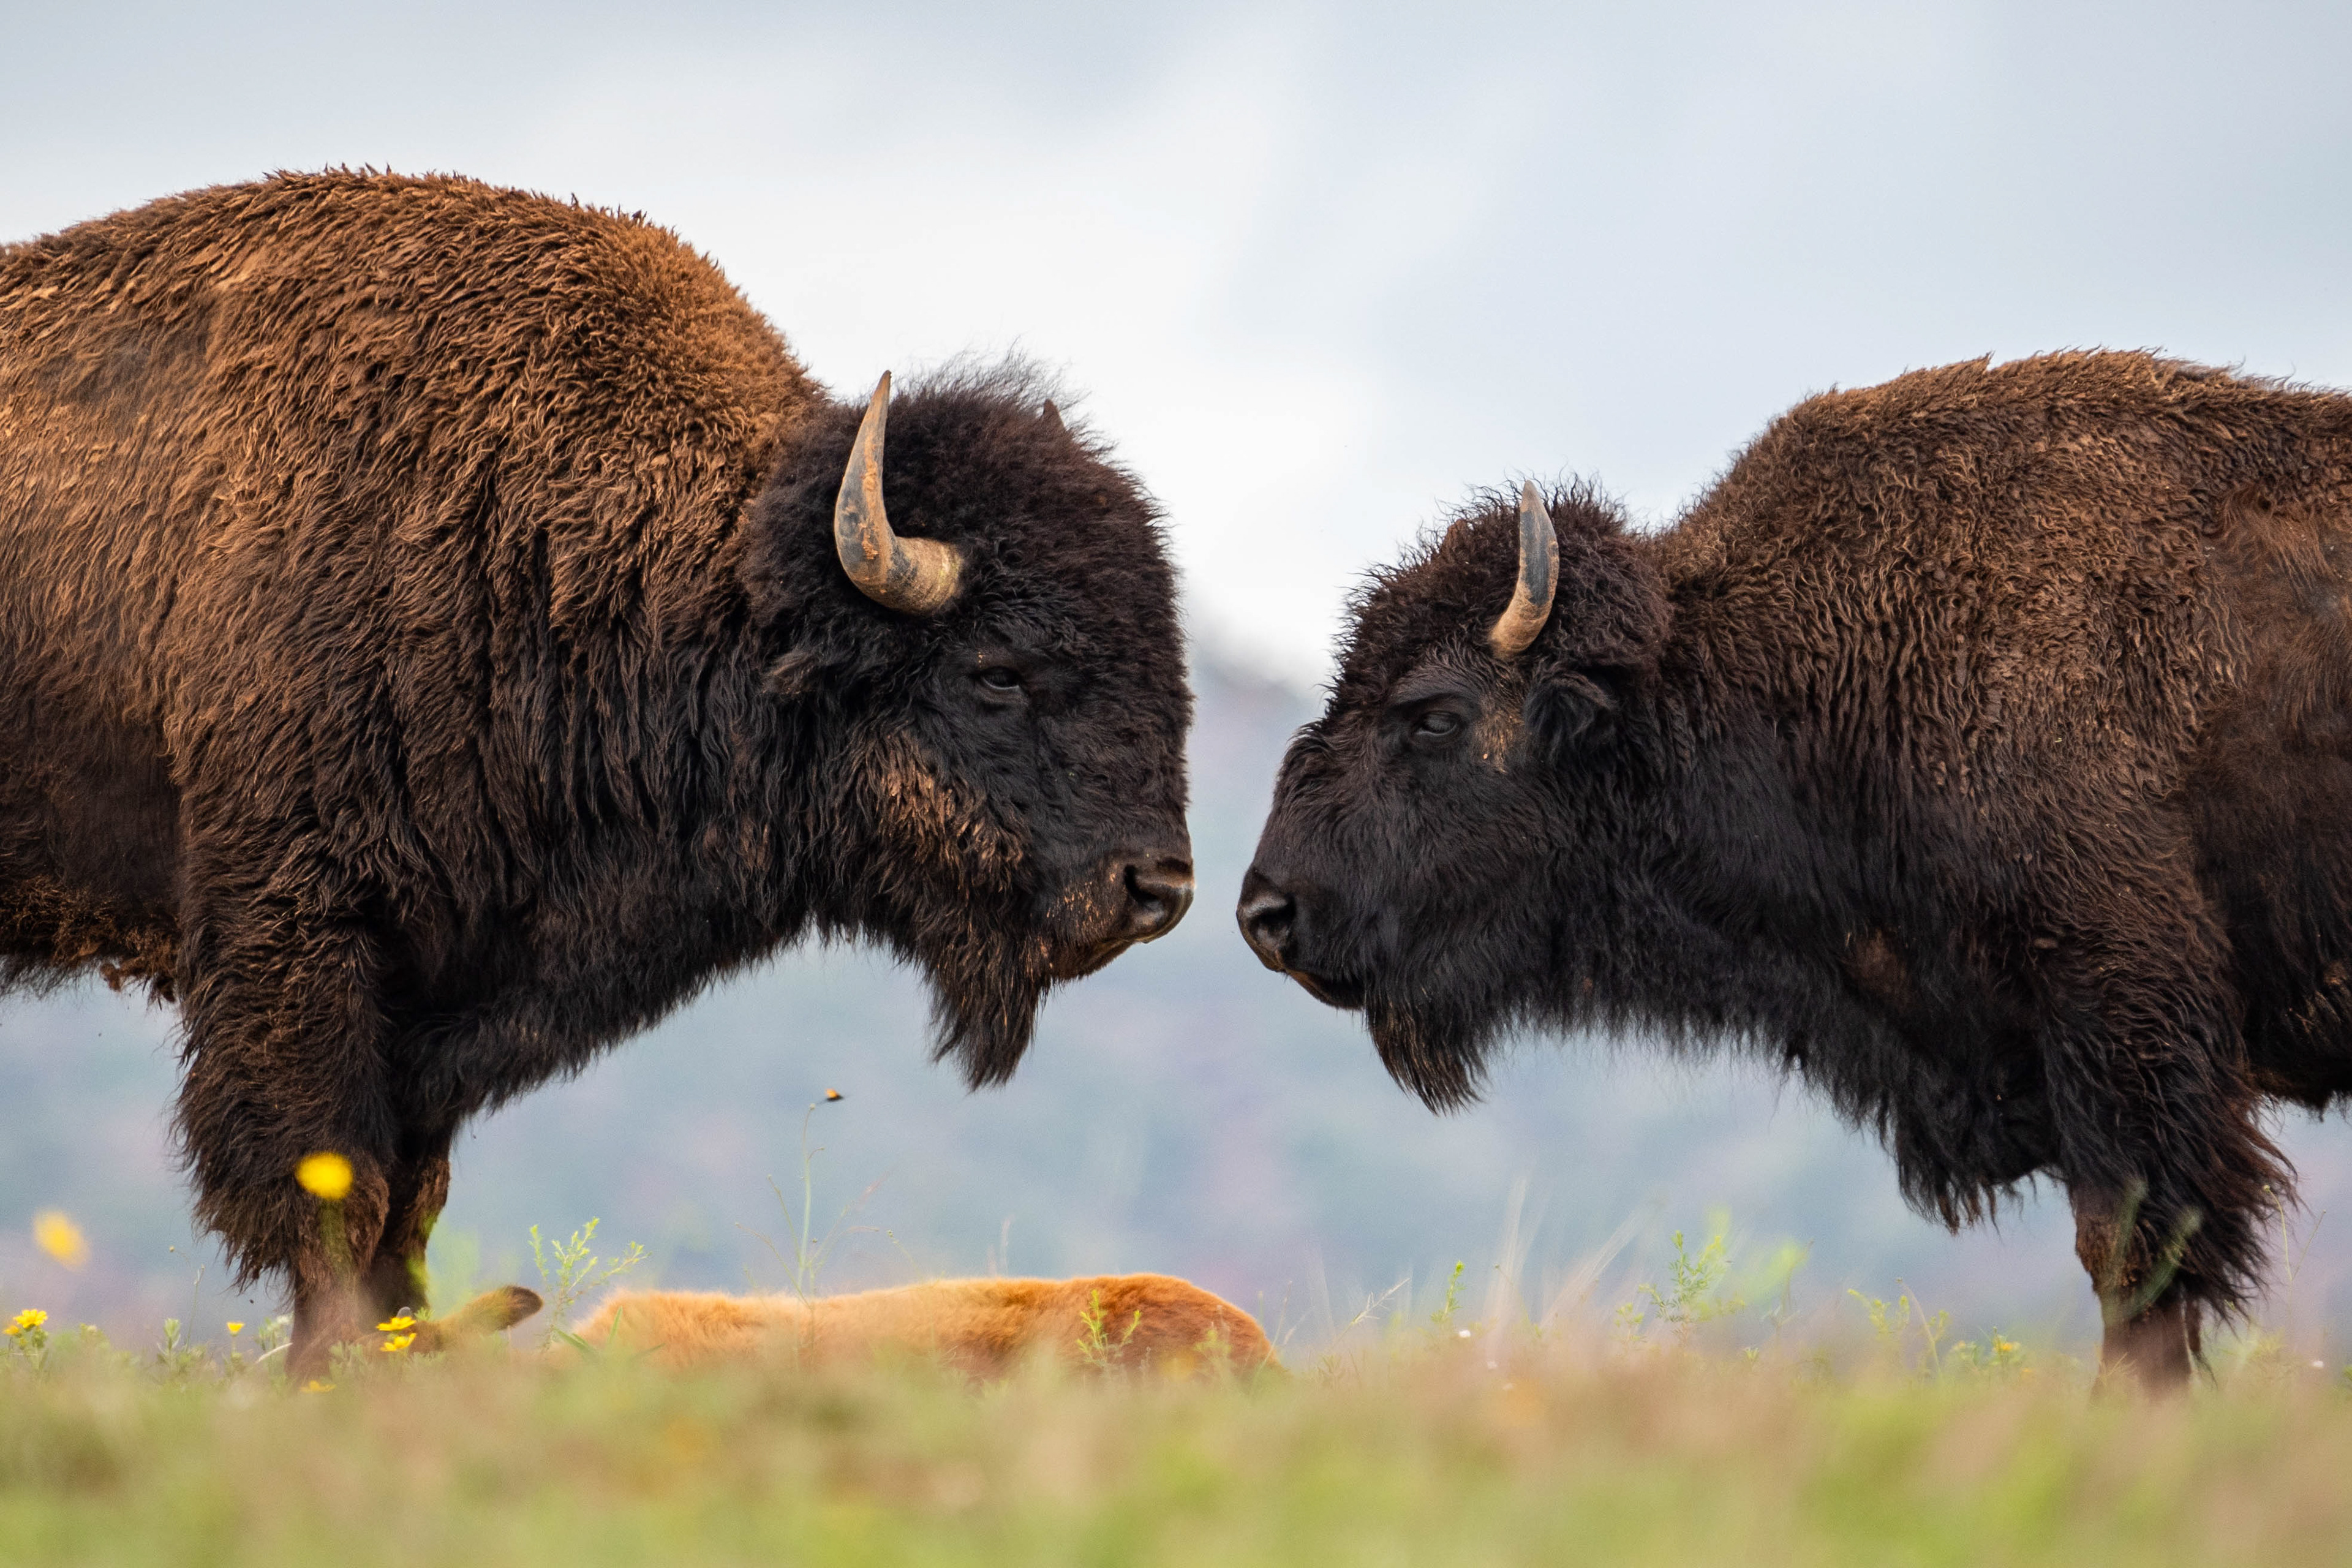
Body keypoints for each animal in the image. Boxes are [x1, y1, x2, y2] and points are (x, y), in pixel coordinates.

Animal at [0, 172, 1193, 1372]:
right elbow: (336, 1190)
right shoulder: (297, 942)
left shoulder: (449, 987)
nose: (1161, 889)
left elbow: (409, 1199)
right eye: (998, 671)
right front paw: (335, 1370)